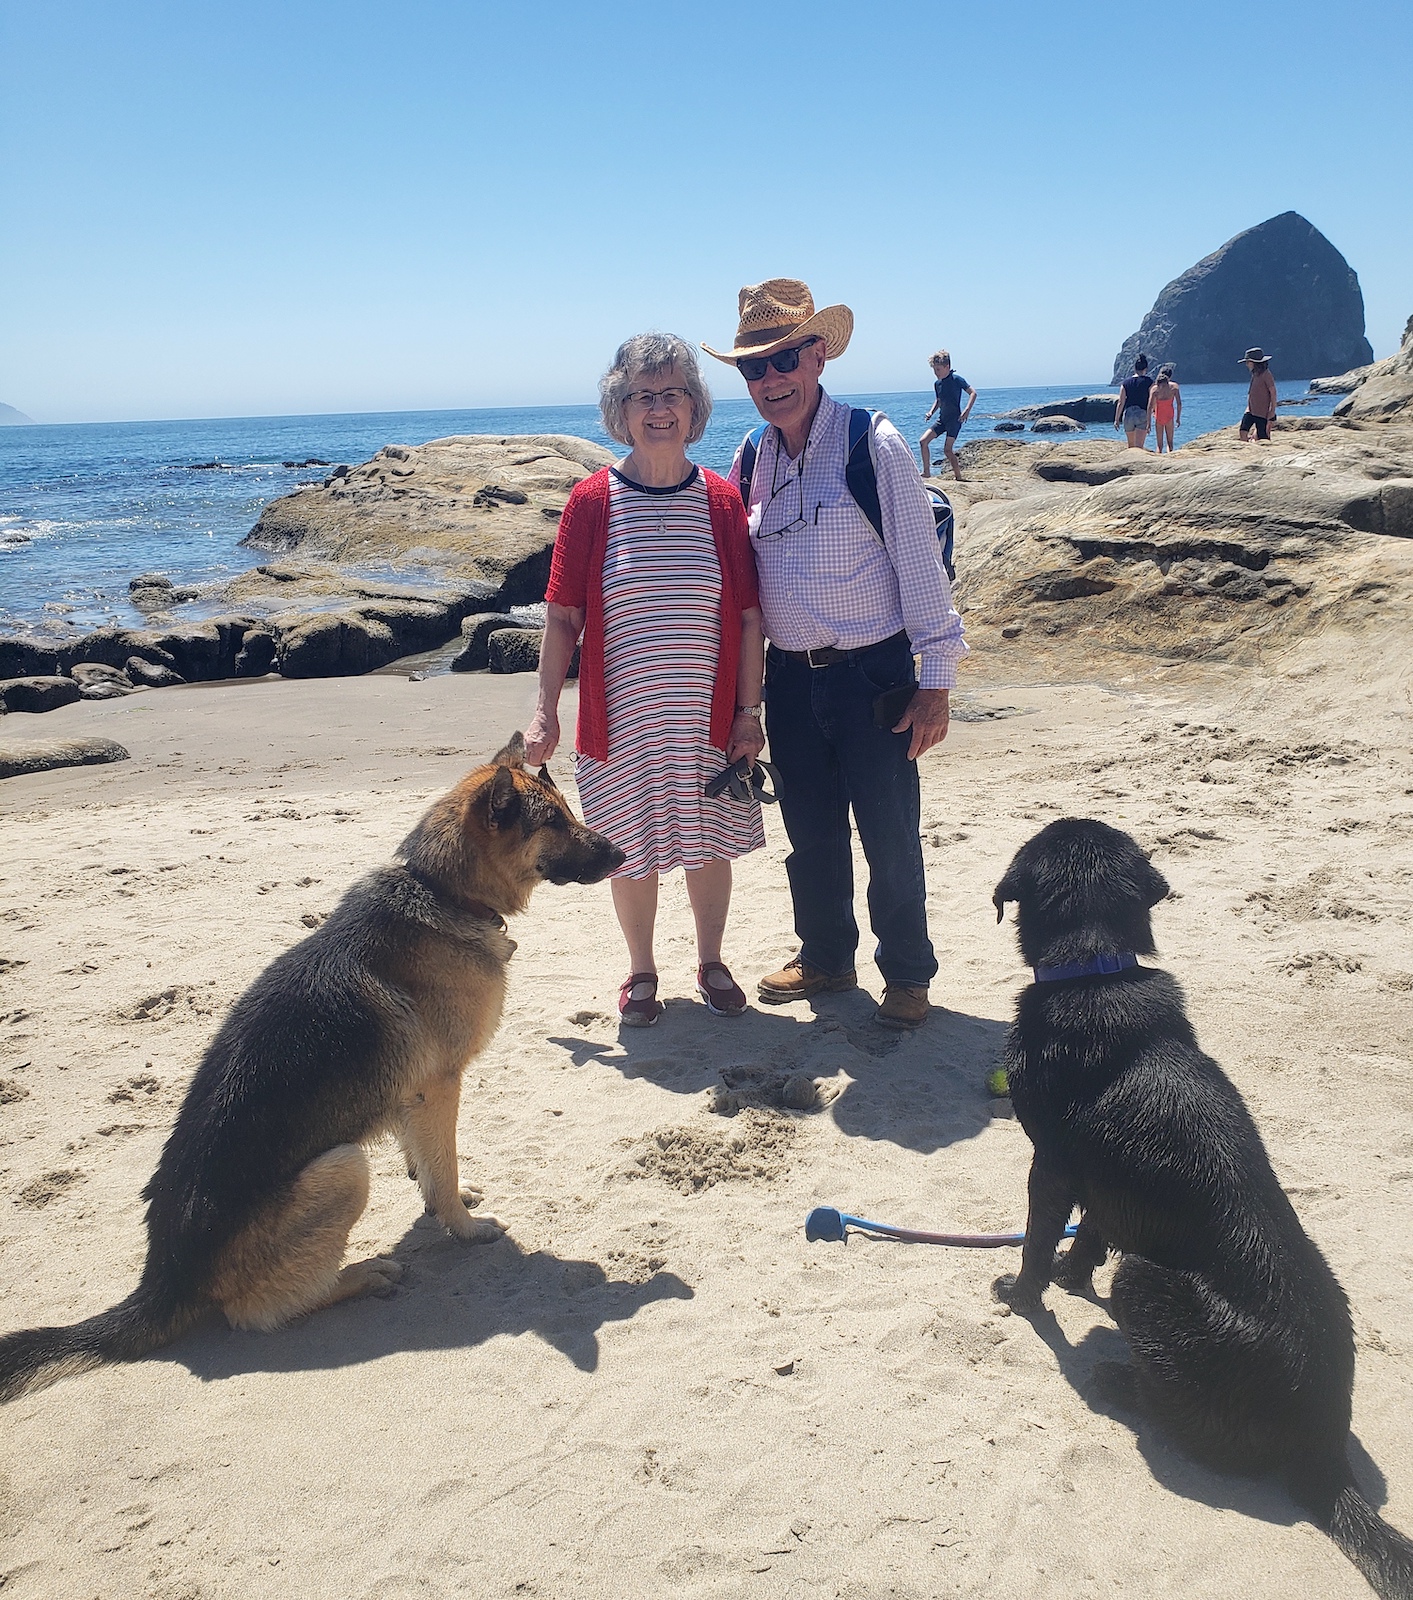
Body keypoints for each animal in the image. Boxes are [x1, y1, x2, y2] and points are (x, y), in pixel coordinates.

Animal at [0, 736, 624, 1401]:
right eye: (554, 821)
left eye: (568, 811)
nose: (621, 853)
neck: (441, 889)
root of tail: (165, 1280)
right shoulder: (438, 1086)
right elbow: (444, 1165)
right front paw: (464, 1223)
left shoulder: (410, 1095)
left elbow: (429, 1163)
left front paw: (440, 1197)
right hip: (343, 1167)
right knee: (258, 1312)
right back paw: (360, 1274)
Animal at [992, 825, 1413, 1600]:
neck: (1094, 967)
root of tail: (1322, 1446)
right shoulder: (1105, 1181)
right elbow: (1091, 1231)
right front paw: (1070, 1278)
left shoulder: (1051, 1167)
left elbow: (1037, 1242)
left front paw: (1024, 1294)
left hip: (1143, 1282)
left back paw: (1119, 1382)